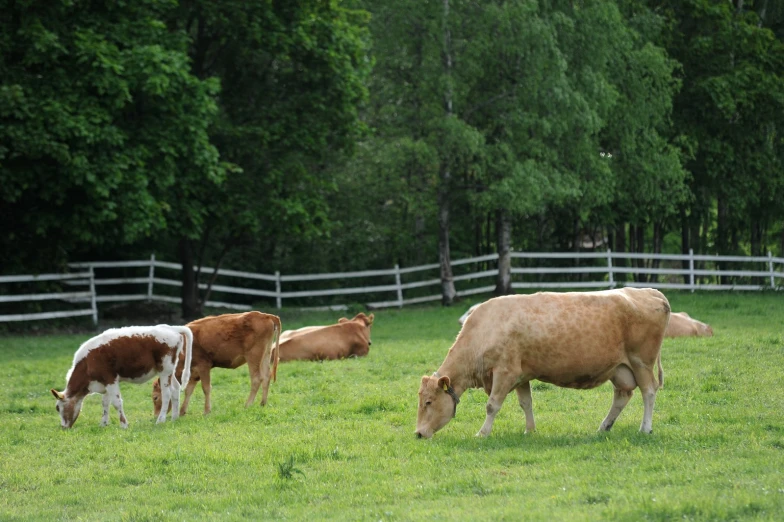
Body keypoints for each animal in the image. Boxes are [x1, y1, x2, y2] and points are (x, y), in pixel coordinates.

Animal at [51, 322, 191, 428]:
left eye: (58, 408)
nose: (63, 427)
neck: (87, 363)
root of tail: (170, 327)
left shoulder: (110, 379)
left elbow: (116, 402)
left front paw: (124, 425)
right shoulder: (104, 382)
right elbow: (105, 403)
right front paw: (103, 424)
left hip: (165, 369)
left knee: (167, 393)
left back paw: (161, 420)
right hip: (169, 371)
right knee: (176, 389)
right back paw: (174, 418)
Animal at [152, 310, 280, 416]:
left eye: (155, 397)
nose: (156, 416)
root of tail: (265, 315)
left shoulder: (203, 366)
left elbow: (206, 388)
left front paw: (206, 411)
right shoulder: (194, 372)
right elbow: (189, 391)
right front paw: (182, 411)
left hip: (253, 357)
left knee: (257, 379)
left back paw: (248, 404)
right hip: (265, 354)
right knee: (266, 376)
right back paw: (262, 403)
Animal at [414, 286, 672, 436]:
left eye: (428, 402)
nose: (418, 433)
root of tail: (650, 291)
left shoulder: (505, 372)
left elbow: (492, 405)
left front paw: (482, 433)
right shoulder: (521, 375)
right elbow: (526, 403)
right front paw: (530, 430)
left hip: (641, 362)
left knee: (649, 392)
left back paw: (645, 428)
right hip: (620, 369)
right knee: (622, 395)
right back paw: (604, 426)